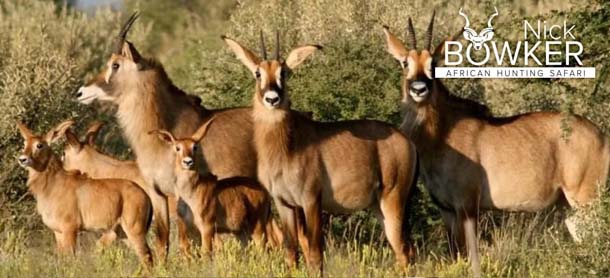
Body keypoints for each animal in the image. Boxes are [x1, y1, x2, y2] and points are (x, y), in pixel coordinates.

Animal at [16, 120, 152, 266]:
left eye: (39, 145)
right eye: (24, 143)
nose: (22, 159)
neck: (51, 185)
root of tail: (145, 195)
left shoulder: (70, 228)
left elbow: (70, 259)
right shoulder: (57, 232)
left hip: (135, 230)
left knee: (147, 256)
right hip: (123, 234)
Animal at [73, 11, 256, 260]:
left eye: (115, 64)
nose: (81, 92)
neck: (163, 129)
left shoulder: (180, 195)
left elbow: (185, 243)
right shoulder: (157, 193)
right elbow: (162, 241)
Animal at [148, 119, 282, 254]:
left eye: (194, 147)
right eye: (177, 147)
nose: (188, 161)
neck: (191, 194)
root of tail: (265, 191)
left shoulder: (207, 227)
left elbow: (206, 253)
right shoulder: (190, 228)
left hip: (257, 227)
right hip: (240, 231)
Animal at [223, 32, 418, 272]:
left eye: (283, 72)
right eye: (258, 72)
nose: (272, 99)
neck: (287, 147)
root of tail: (408, 142)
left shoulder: (311, 201)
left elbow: (315, 255)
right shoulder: (284, 204)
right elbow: (291, 252)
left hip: (393, 200)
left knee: (403, 250)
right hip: (379, 206)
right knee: (405, 249)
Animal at [380, 12, 608, 276]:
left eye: (433, 64)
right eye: (405, 62)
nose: (419, 89)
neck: (442, 131)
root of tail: (602, 136)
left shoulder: (468, 207)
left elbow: (472, 258)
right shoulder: (447, 210)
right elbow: (455, 254)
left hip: (585, 198)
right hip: (571, 207)